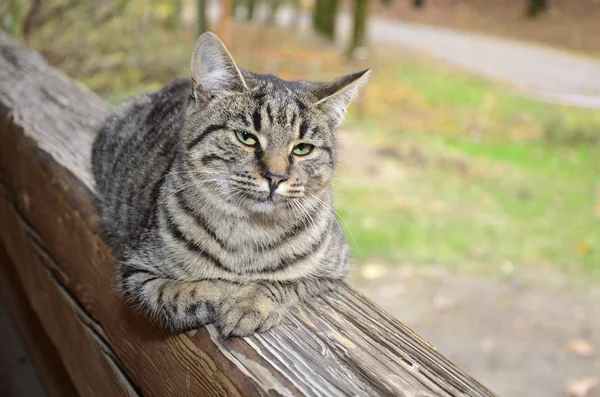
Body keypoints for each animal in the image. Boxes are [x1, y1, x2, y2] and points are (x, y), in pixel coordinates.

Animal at [91, 31, 368, 338]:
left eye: (302, 148)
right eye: (246, 137)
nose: (276, 177)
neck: (250, 232)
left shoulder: (331, 269)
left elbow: (281, 282)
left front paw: (250, 304)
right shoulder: (136, 270)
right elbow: (177, 293)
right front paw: (220, 291)